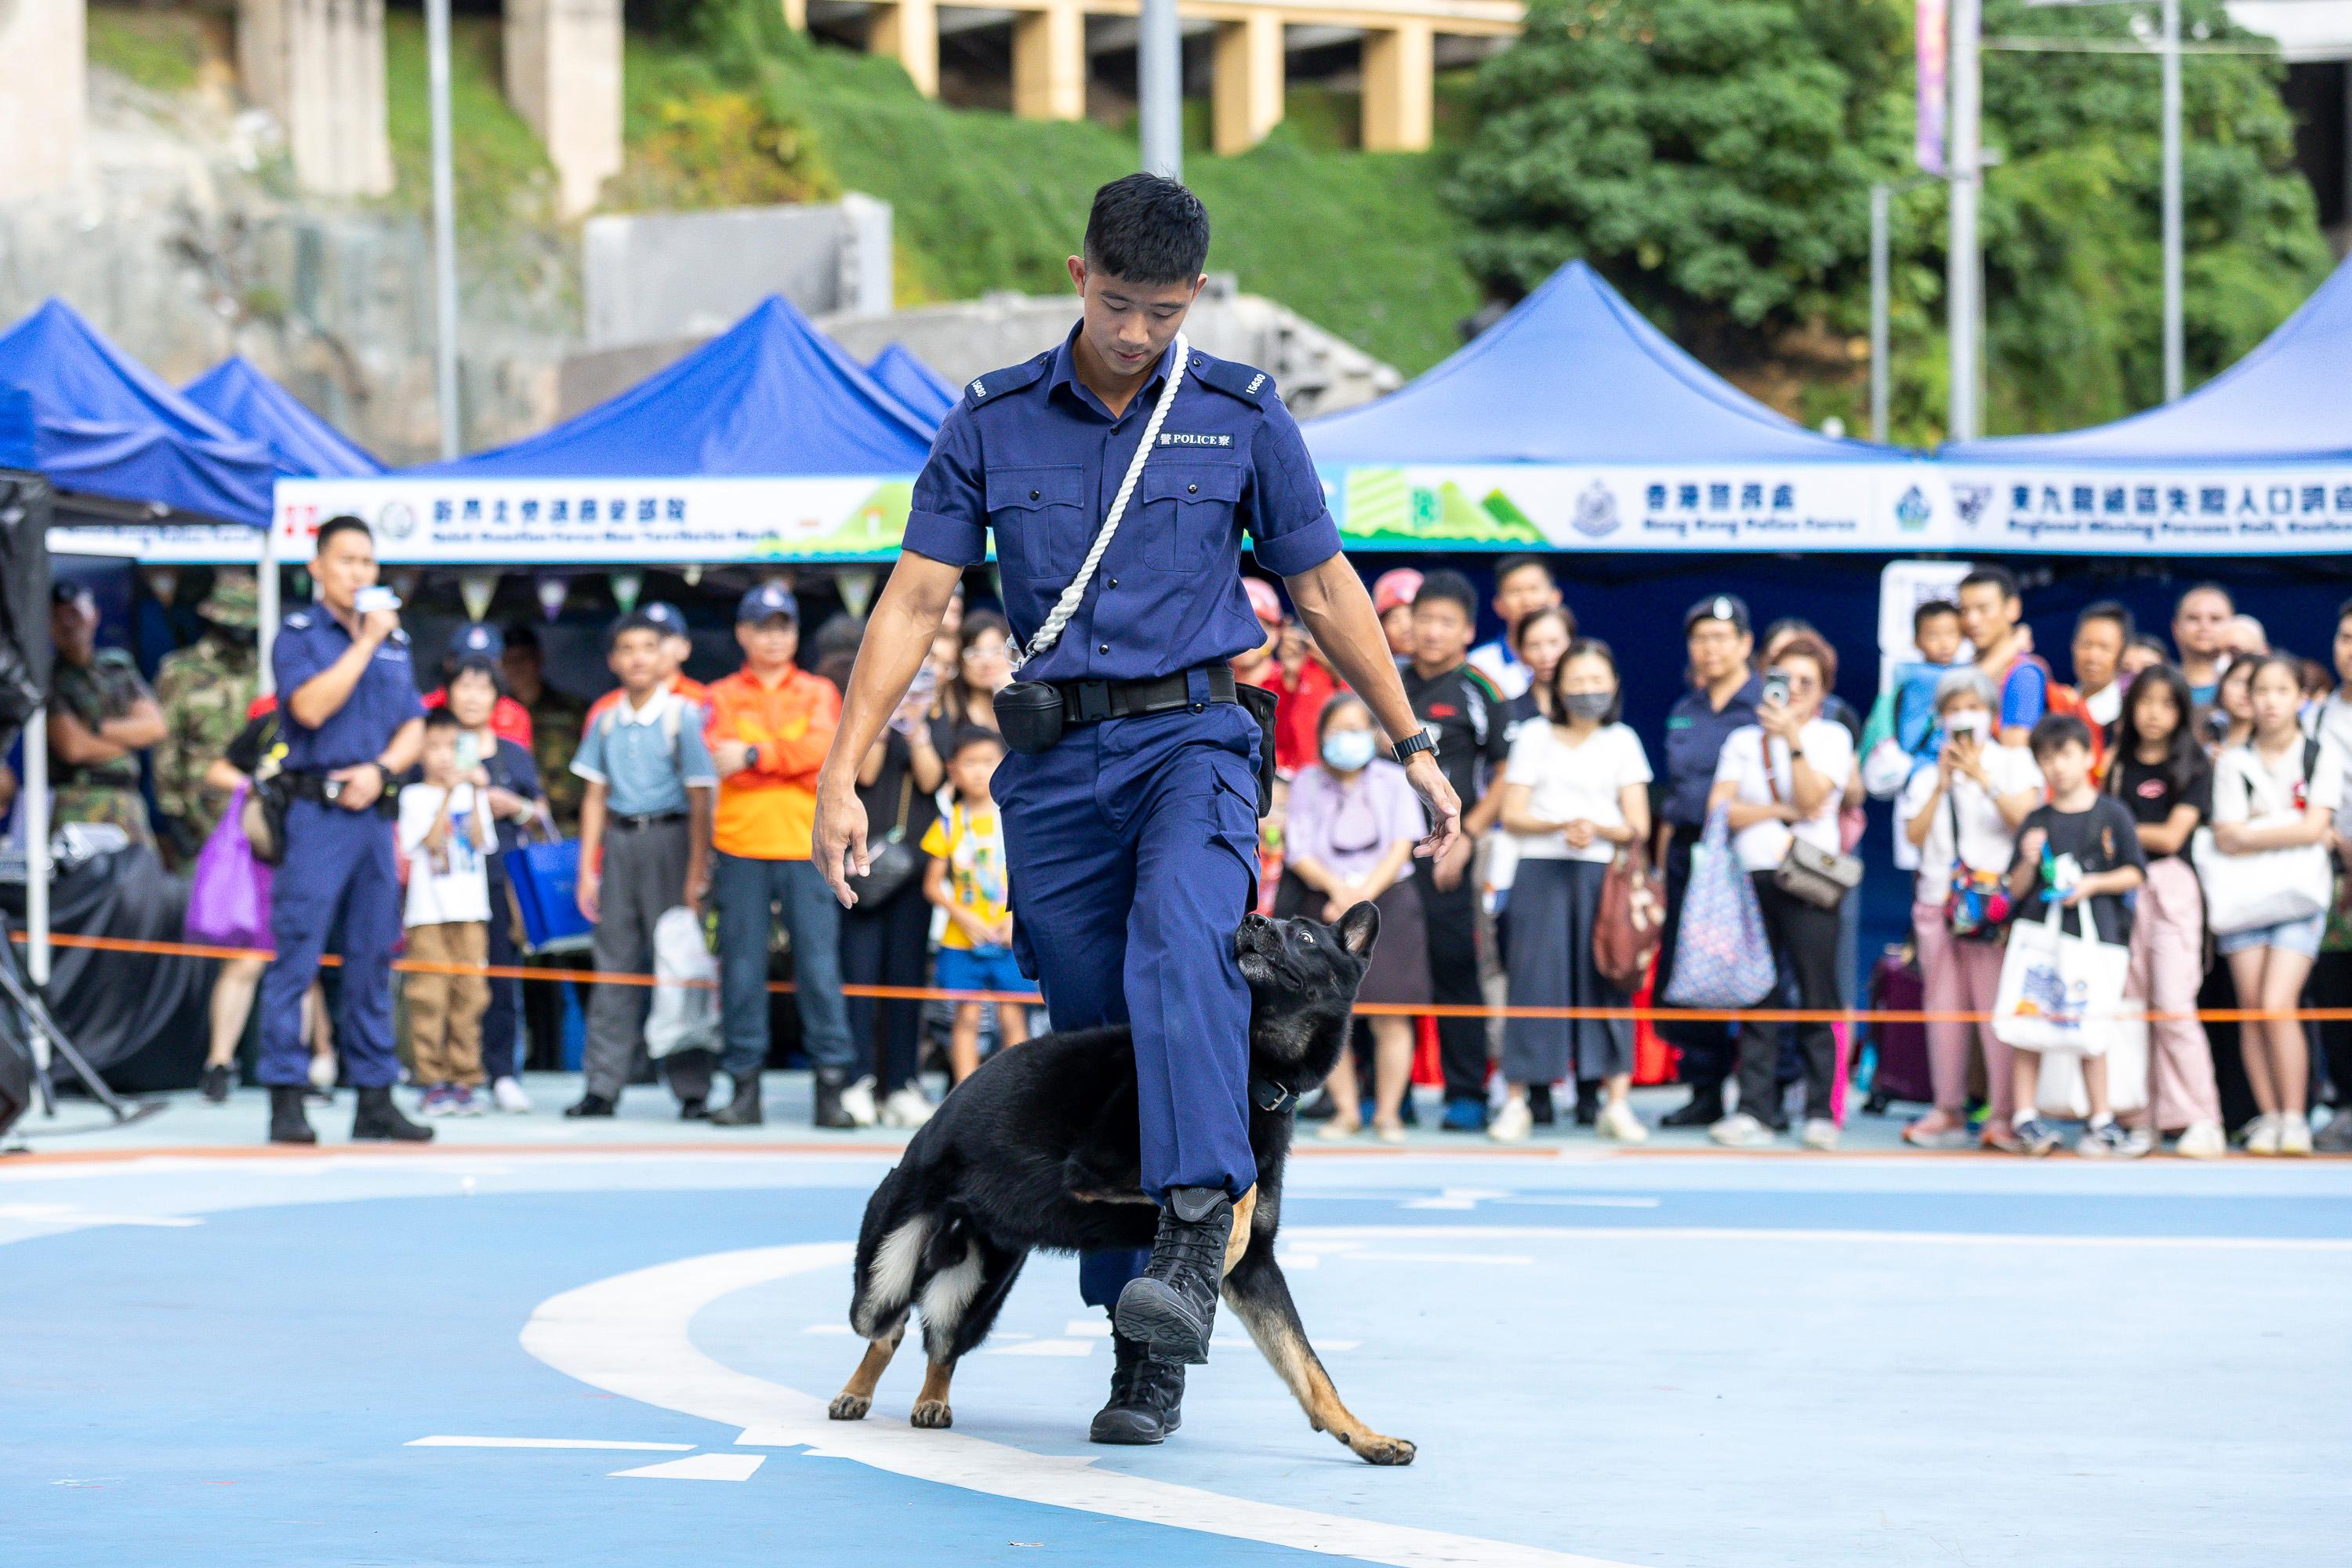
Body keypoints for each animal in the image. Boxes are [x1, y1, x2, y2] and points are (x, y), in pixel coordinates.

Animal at [828, 902, 1411, 1467]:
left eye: (1306, 936)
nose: (1252, 918)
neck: (1251, 1070)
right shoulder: (1097, 1171)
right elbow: (1229, 1188)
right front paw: (1229, 1222)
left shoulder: (1258, 1274)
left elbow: (1310, 1369)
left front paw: (1365, 1437)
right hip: (884, 1272)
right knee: (886, 1327)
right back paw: (856, 1392)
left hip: (980, 1284)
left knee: (942, 1344)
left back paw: (931, 1399)